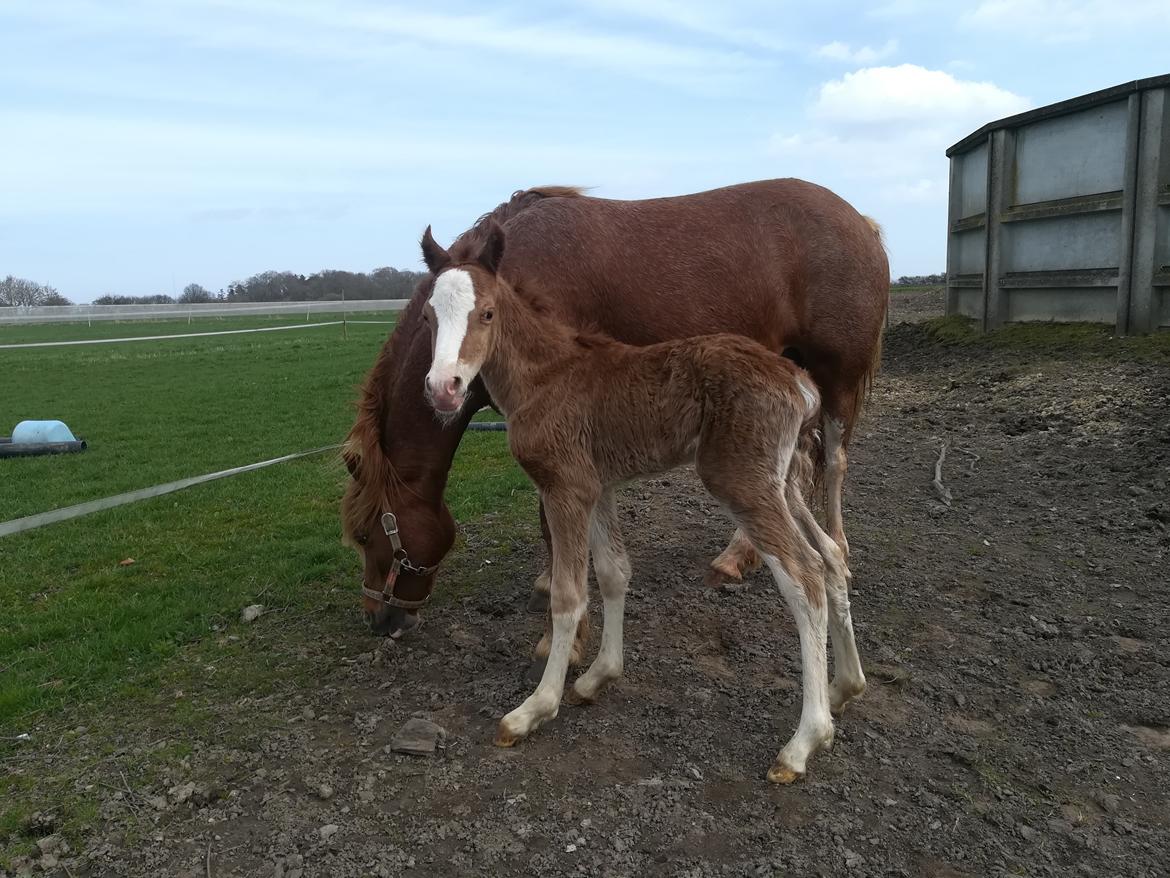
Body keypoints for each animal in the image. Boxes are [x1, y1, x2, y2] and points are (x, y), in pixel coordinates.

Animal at [416, 221, 865, 782]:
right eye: (428, 316)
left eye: (488, 312)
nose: (444, 387)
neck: (545, 376)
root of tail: (801, 384)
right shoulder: (598, 486)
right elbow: (614, 573)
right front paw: (599, 676)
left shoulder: (564, 487)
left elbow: (568, 595)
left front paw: (534, 708)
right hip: (782, 485)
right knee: (831, 557)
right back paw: (845, 687)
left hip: (743, 483)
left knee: (804, 577)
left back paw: (805, 741)